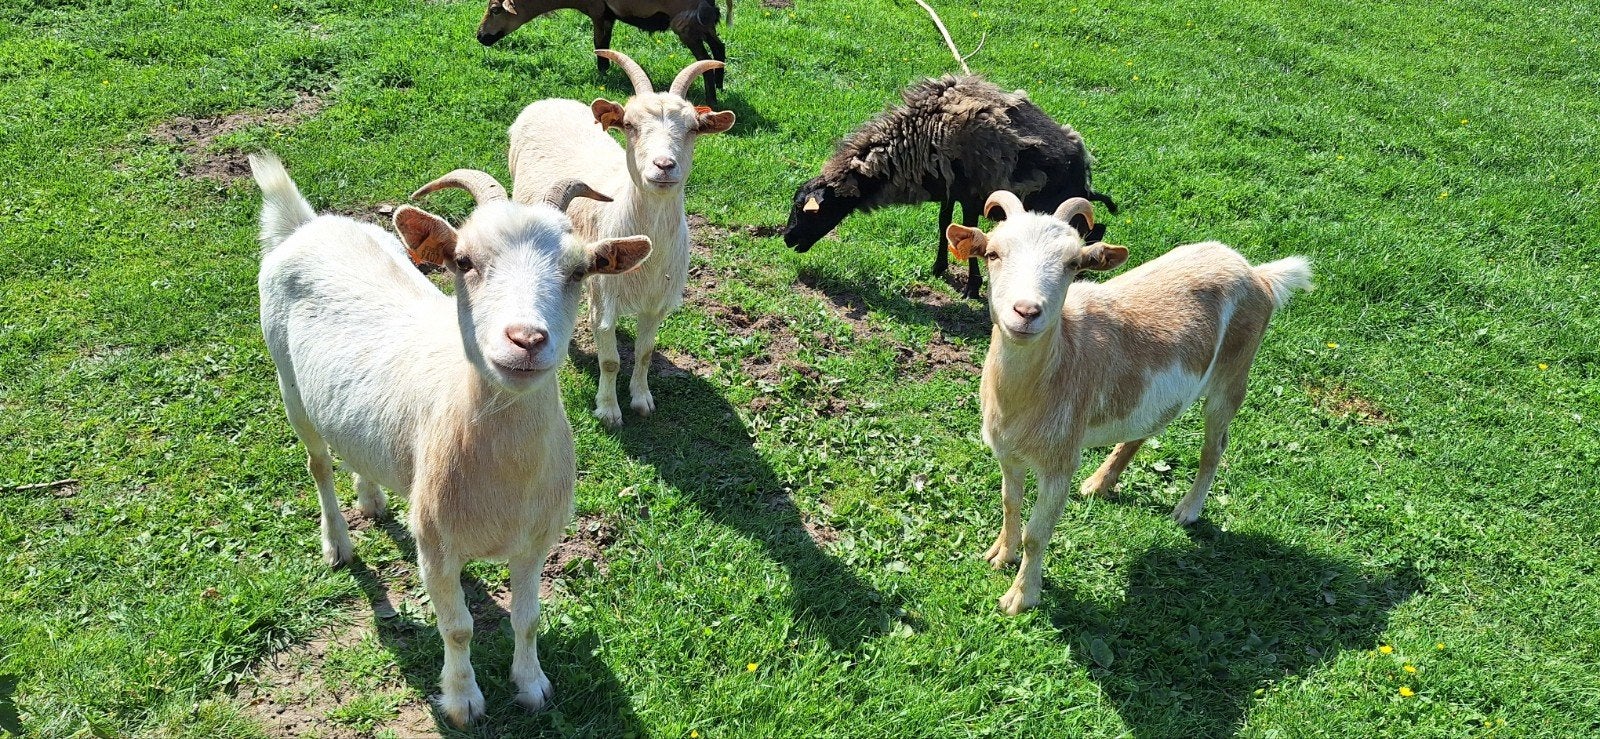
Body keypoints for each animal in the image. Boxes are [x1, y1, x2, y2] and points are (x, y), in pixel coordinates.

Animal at [249, 153, 652, 726]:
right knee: (318, 463)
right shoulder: (435, 545)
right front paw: (463, 700)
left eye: (579, 271)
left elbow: (527, 618)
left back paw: (371, 498)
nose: (526, 340)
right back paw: (339, 544)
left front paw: (531, 685)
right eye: (463, 261)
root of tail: (305, 225)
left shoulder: (537, 541)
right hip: (288, 382)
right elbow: (457, 626)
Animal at [477, 0, 731, 105]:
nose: (480, 36)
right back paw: (720, 86)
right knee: (719, 48)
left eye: (495, 10)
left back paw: (712, 100)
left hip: (685, 23)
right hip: (702, 23)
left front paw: (602, 78)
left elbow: (600, 47)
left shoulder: (599, 13)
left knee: (705, 60)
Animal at [508, 50, 734, 427]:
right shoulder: (606, 297)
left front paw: (642, 400)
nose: (664, 165)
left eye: (692, 128)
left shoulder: (657, 301)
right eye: (630, 125)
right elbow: (611, 359)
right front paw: (609, 410)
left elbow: (644, 353)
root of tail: (549, 101)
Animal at [782, 74, 1118, 299]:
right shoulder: (949, 190)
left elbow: (970, 234)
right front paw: (938, 267)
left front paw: (971, 287)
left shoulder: (971, 196)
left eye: (809, 211)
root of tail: (1082, 164)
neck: (918, 138)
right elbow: (944, 223)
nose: (787, 238)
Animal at [945, 191, 1311, 615]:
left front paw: (1020, 597)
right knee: (1148, 426)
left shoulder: (1060, 461)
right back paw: (1100, 483)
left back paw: (1188, 509)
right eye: (993, 253)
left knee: (1215, 445)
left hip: (1233, 373)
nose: (1026, 311)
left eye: (1073, 263)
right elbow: (1009, 504)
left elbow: (1037, 533)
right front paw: (1000, 556)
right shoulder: (1007, 451)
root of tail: (1259, 274)